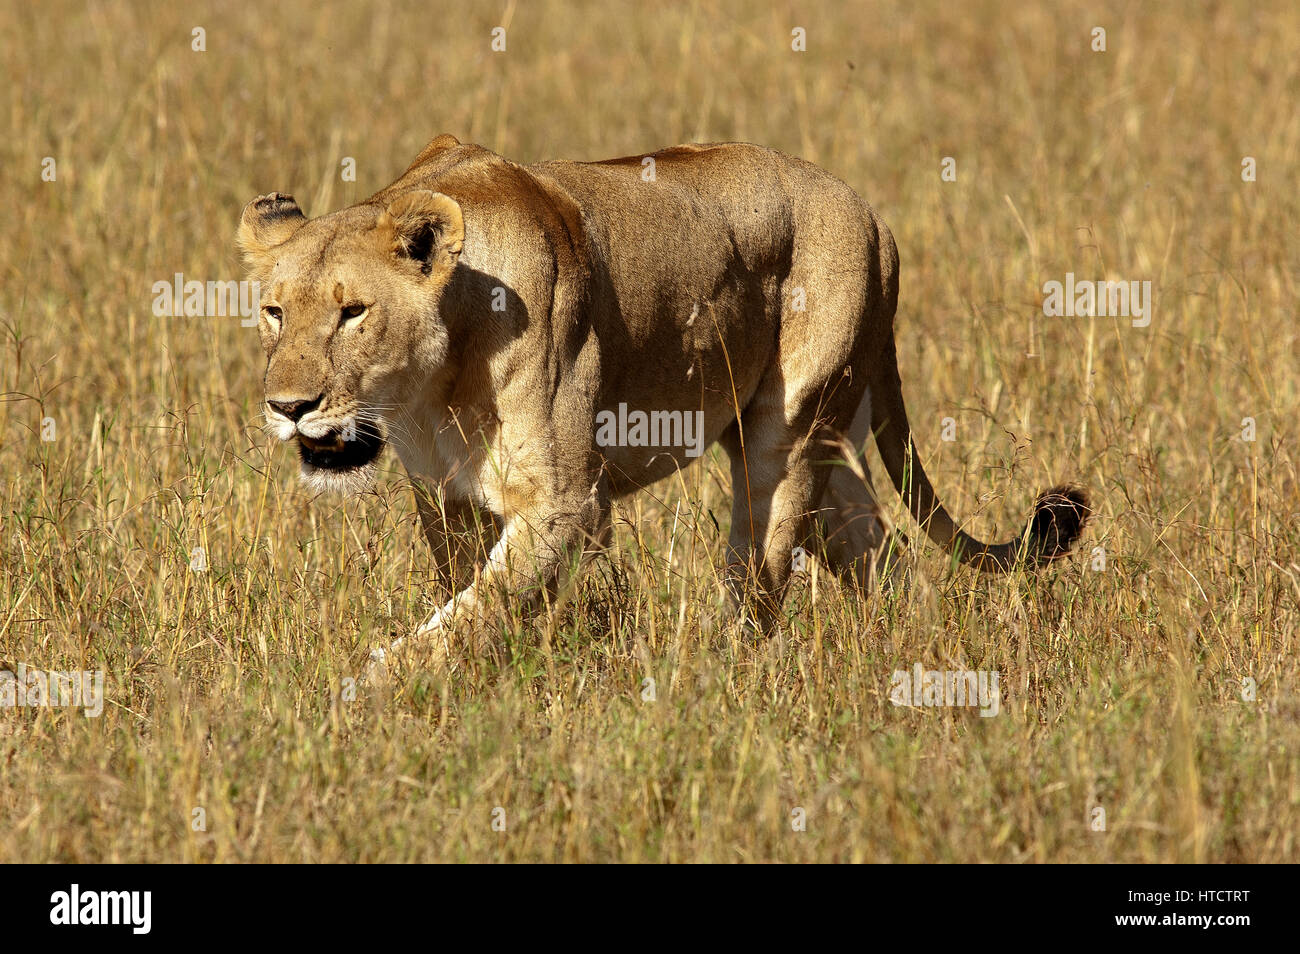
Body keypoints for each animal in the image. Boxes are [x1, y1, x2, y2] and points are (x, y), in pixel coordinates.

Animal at [237, 134, 1088, 674]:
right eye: (275, 312)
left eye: (353, 313)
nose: (288, 406)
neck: (432, 386)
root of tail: (875, 219)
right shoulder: (446, 499)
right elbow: (470, 598)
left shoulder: (570, 501)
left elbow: (477, 611)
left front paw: (374, 685)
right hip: (822, 437)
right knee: (880, 548)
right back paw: (913, 654)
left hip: (782, 440)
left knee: (759, 581)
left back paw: (724, 674)